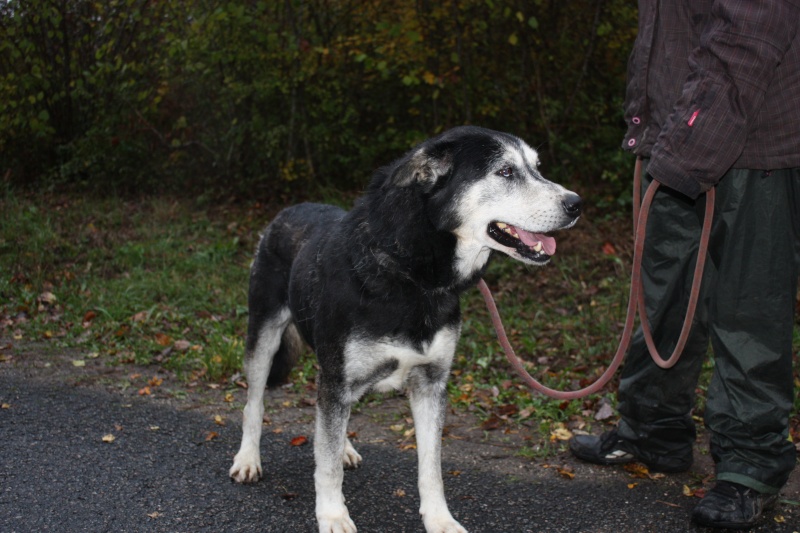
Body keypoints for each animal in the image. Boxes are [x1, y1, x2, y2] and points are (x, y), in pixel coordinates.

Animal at [228, 127, 580, 528]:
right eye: (505, 171)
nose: (576, 204)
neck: (415, 276)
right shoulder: (337, 378)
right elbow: (326, 466)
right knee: (254, 403)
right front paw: (332, 516)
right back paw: (248, 459)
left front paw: (440, 520)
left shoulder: (430, 382)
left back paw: (344, 447)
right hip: (265, 336)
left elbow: (431, 467)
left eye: (537, 167)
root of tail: (286, 211)